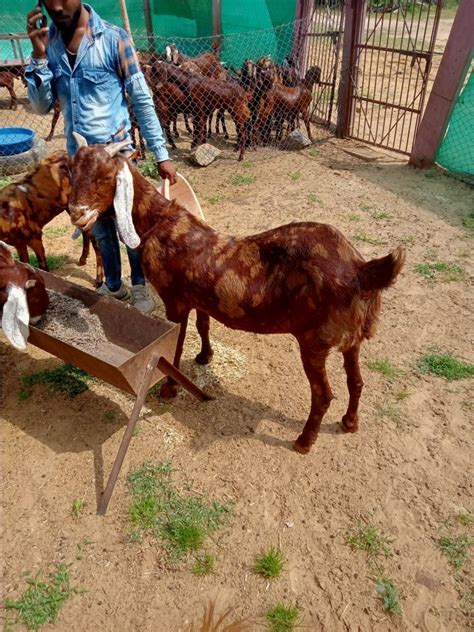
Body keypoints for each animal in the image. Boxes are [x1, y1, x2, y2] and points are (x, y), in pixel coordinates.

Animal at [0, 152, 103, 286]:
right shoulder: (19, 244)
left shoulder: (35, 237)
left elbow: (43, 269)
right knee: (85, 232)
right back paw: (82, 259)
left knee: (95, 240)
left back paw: (99, 279)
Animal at [68, 136, 406, 454]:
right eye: (72, 170)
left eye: (105, 176)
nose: (76, 213)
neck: (159, 224)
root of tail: (362, 269)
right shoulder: (198, 298)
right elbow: (203, 325)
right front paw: (204, 357)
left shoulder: (174, 300)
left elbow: (174, 347)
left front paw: (169, 390)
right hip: (353, 338)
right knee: (356, 380)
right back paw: (350, 422)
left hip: (315, 341)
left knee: (323, 395)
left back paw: (304, 441)